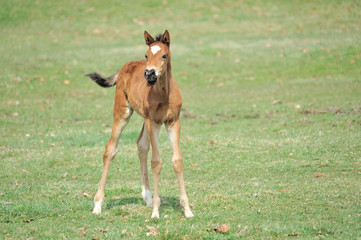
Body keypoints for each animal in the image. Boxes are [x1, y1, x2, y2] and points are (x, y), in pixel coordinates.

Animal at [86, 30, 194, 219]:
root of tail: (124, 67)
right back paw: (98, 204)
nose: (149, 74)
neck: (164, 95)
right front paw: (156, 212)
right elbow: (156, 162)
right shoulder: (154, 122)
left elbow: (177, 160)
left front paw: (187, 210)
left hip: (145, 119)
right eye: (146, 55)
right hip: (123, 112)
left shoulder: (173, 121)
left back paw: (147, 197)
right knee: (110, 149)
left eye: (164, 55)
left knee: (141, 145)